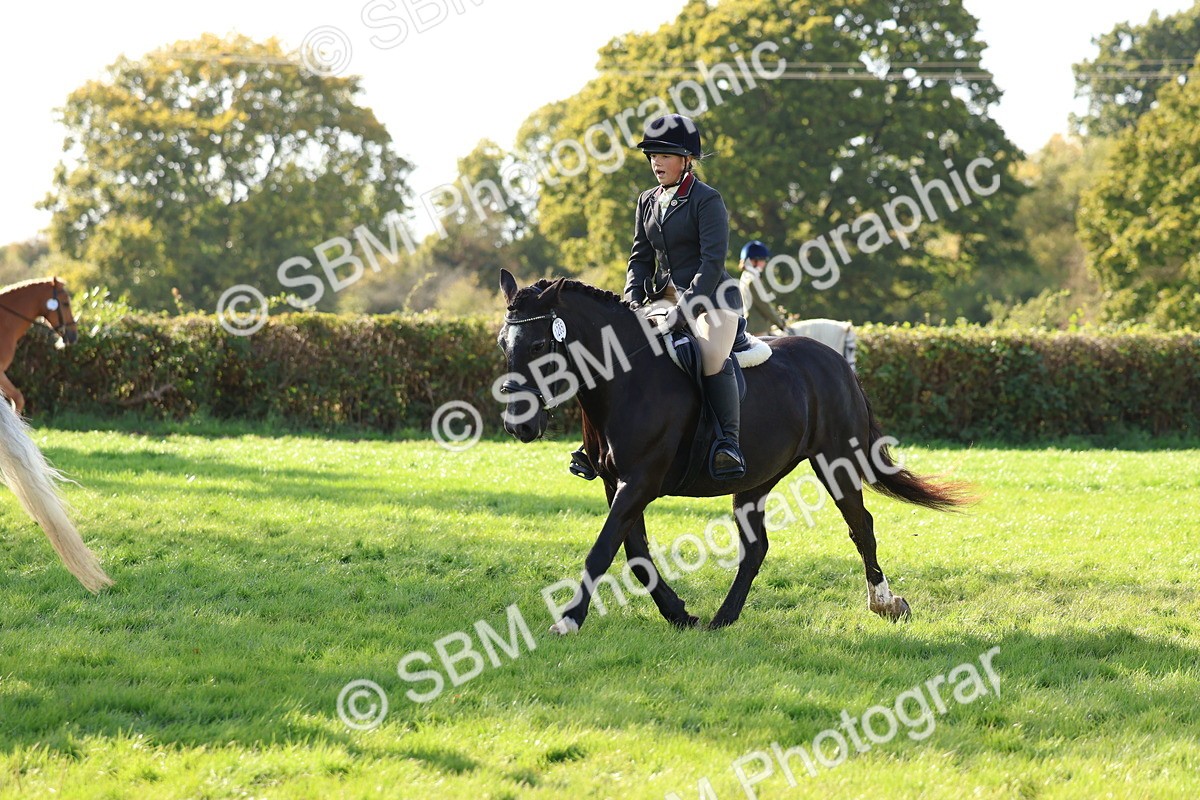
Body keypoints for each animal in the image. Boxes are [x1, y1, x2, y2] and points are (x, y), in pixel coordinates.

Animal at [497, 269, 971, 633]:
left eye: (537, 346)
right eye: (504, 343)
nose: (519, 425)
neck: (625, 379)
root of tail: (837, 363)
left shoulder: (640, 482)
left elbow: (604, 549)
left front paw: (568, 620)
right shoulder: (617, 484)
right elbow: (635, 553)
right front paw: (679, 613)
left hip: (837, 462)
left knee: (861, 527)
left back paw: (885, 603)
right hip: (756, 480)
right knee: (756, 547)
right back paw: (723, 618)